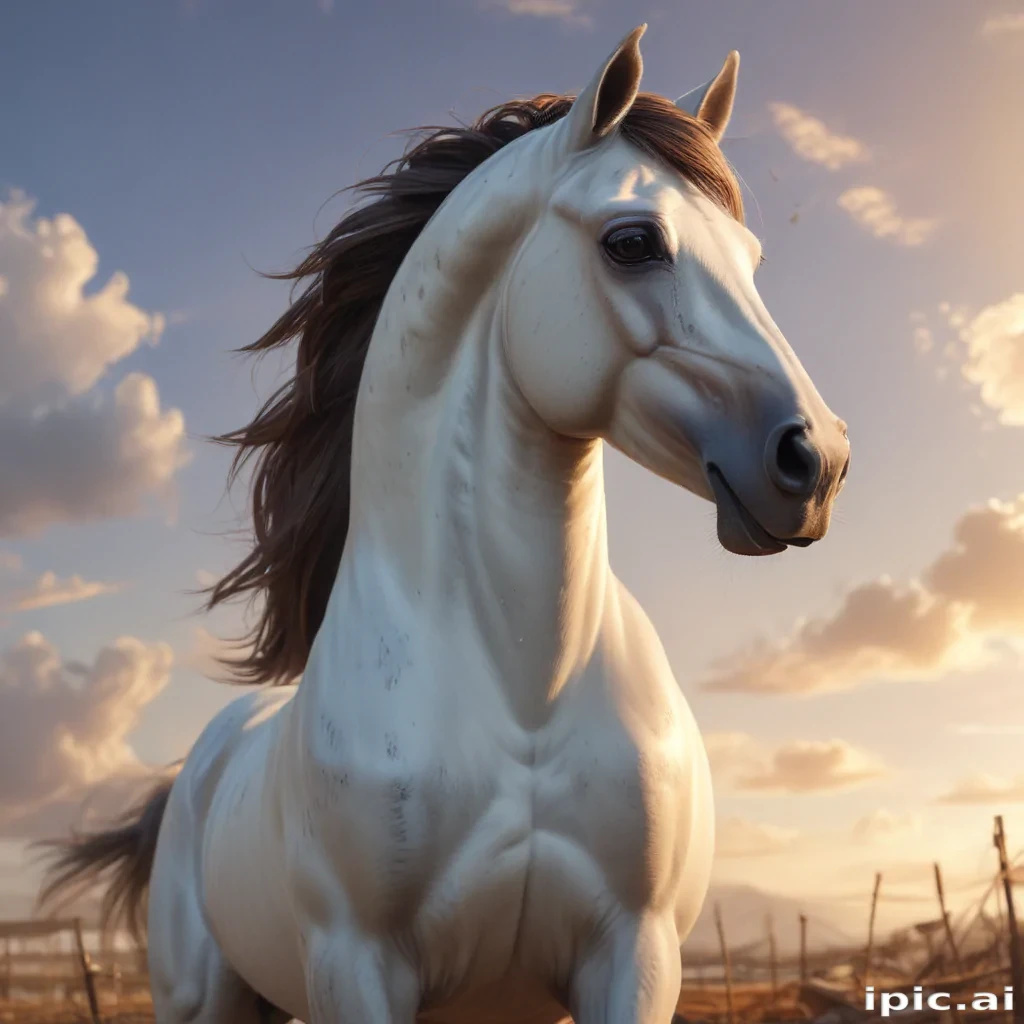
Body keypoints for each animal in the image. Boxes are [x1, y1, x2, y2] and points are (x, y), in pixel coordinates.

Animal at [39, 25, 850, 1024]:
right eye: (633, 242)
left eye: (751, 258)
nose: (818, 461)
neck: (524, 690)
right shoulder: (358, 964)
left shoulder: (639, 954)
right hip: (204, 1000)